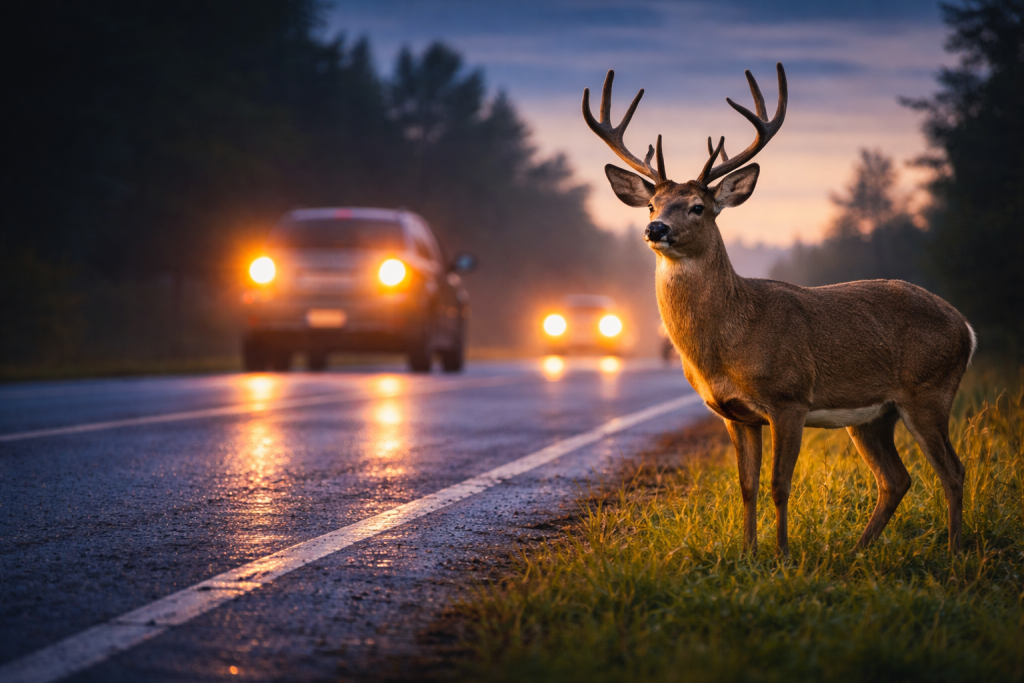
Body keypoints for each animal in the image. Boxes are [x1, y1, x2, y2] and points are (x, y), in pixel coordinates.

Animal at [583, 63, 976, 555]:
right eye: (652, 204)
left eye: (698, 207)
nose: (656, 229)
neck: (730, 341)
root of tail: (966, 327)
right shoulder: (733, 413)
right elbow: (747, 485)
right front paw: (748, 552)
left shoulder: (790, 398)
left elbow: (779, 484)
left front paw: (783, 554)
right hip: (875, 415)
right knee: (896, 479)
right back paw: (857, 551)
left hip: (929, 391)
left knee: (953, 471)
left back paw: (954, 550)